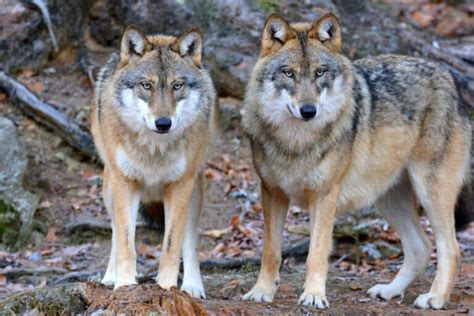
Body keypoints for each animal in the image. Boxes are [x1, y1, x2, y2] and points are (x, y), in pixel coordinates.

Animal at [90, 25, 217, 298]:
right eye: (146, 85)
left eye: (177, 86)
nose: (163, 123)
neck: (154, 150)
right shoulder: (125, 182)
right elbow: (126, 242)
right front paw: (124, 285)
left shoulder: (180, 185)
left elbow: (171, 246)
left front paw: (167, 288)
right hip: (109, 190)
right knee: (115, 232)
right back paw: (109, 277)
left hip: (195, 192)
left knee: (189, 241)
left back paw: (192, 286)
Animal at [243, 12, 472, 312]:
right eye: (288, 73)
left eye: (320, 72)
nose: (308, 111)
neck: (297, 142)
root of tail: (449, 77)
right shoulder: (272, 192)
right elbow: (270, 251)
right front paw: (262, 291)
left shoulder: (324, 195)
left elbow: (316, 253)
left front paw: (314, 295)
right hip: (389, 200)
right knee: (421, 246)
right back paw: (390, 291)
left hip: (430, 192)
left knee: (450, 249)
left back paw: (435, 298)